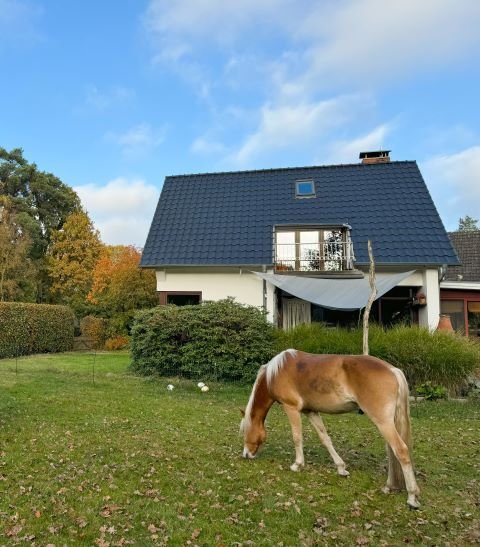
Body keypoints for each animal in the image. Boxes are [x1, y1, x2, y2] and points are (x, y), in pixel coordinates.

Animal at [240, 352, 420, 510]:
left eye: (244, 432)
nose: (246, 454)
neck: (275, 373)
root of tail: (393, 370)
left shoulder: (291, 408)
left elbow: (297, 437)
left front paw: (297, 464)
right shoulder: (311, 411)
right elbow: (325, 439)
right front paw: (341, 468)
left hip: (383, 422)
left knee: (400, 451)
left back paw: (411, 497)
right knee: (392, 452)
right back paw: (389, 486)